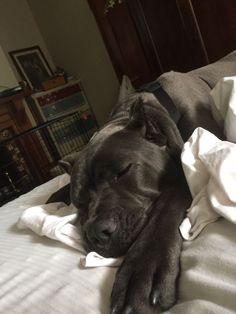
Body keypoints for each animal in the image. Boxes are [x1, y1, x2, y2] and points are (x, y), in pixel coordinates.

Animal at [47, 52, 236, 314]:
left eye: (123, 171)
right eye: (79, 201)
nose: (96, 233)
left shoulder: (190, 166)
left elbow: (166, 206)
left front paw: (142, 268)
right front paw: (57, 194)